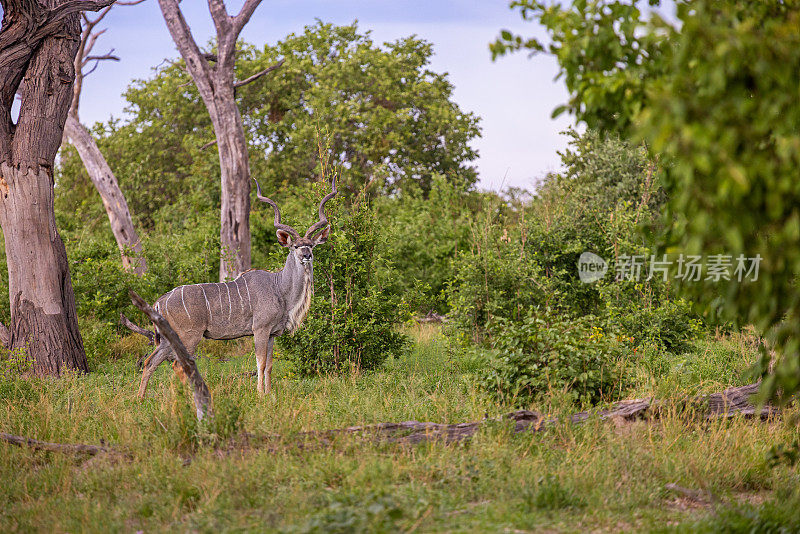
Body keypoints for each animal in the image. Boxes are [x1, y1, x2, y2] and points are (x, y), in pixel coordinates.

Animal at [137, 179, 334, 398]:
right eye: (296, 246)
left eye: (311, 245)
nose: (307, 255)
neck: (280, 288)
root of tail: (159, 302)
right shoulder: (260, 329)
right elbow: (261, 363)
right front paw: (260, 395)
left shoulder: (272, 334)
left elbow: (270, 365)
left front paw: (270, 394)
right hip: (189, 337)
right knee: (178, 366)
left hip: (167, 339)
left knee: (150, 362)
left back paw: (140, 399)